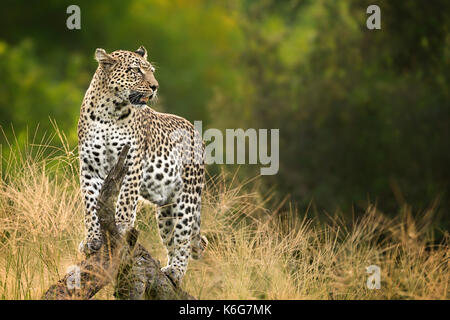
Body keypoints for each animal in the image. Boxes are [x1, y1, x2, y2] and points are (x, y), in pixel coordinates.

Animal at [77, 45, 207, 284]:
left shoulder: (132, 163)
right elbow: (90, 206)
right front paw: (92, 240)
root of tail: (197, 134)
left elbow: (126, 201)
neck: (108, 113)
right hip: (166, 211)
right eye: (136, 70)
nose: (155, 86)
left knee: (183, 238)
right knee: (172, 239)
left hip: (187, 198)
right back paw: (169, 271)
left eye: (151, 71)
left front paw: (120, 227)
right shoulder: (89, 167)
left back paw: (175, 271)